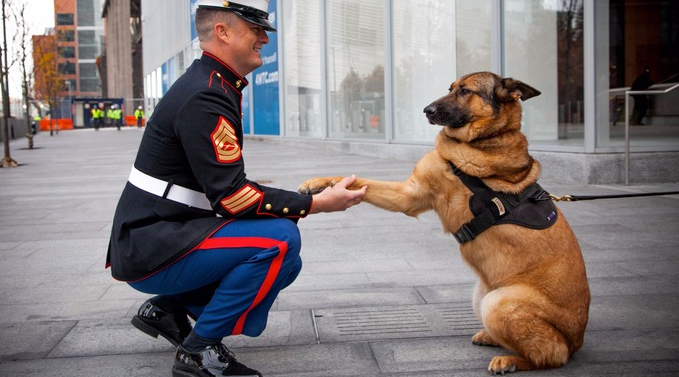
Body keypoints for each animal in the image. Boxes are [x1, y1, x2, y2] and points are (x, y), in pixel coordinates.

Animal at [298, 72, 588, 374]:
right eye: (450, 87)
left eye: (465, 91)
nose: (426, 110)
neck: (483, 139)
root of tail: (576, 340)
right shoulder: (409, 194)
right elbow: (358, 181)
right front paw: (318, 183)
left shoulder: (411, 196)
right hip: (481, 295)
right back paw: (491, 339)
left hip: (498, 303)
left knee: (551, 355)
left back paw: (510, 360)